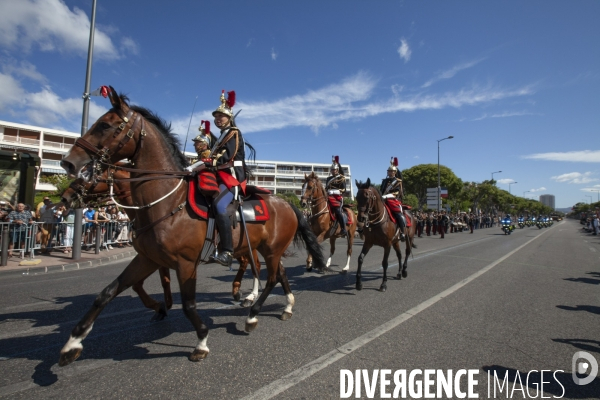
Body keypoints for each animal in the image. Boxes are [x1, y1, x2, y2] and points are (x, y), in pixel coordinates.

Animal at [58, 88, 326, 366]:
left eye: (105, 125)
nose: (68, 163)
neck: (167, 203)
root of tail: (286, 203)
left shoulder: (185, 263)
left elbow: (188, 305)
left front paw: (201, 341)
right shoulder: (147, 258)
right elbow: (108, 292)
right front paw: (73, 342)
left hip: (270, 250)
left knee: (271, 277)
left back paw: (252, 315)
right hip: (267, 249)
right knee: (279, 273)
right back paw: (286, 306)